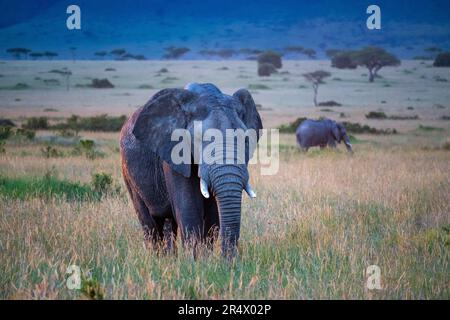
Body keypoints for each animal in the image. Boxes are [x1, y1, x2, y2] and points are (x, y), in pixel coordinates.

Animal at [120, 82, 264, 258]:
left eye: (246, 139)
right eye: (200, 139)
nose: (229, 261)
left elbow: (212, 214)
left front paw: (206, 259)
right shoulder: (174, 151)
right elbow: (189, 207)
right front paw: (195, 261)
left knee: (168, 223)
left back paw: (170, 258)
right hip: (128, 172)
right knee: (149, 223)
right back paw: (156, 258)